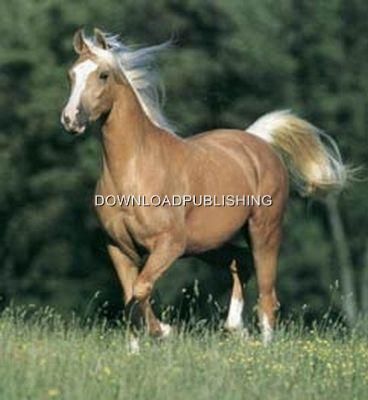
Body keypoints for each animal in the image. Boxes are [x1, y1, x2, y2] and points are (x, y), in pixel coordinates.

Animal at [61, 28, 348, 346]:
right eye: (71, 74)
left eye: (103, 75)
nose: (70, 119)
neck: (134, 171)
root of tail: (258, 142)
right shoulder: (119, 248)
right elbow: (131, 297)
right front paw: (136, 348)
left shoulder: (169, 244)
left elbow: (140, 289)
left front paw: (166, 331)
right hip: (208, 244)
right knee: (241, 263)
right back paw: (235, 327)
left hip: (264, 230)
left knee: (267, 296)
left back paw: (263, 345)